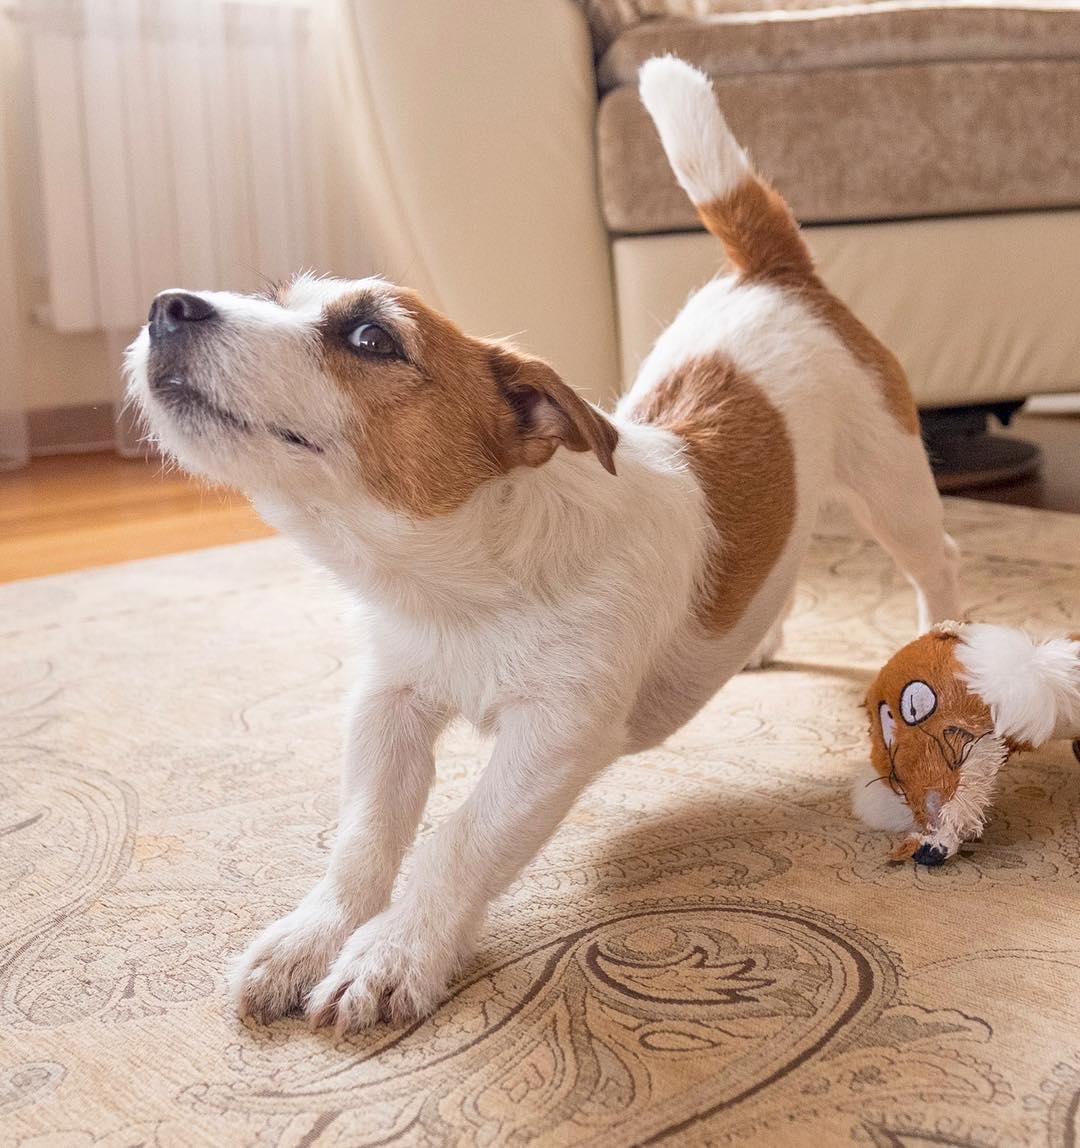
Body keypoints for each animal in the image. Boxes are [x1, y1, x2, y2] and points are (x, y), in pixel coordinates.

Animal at [126, 58, 959, 1037]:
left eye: (371, 337)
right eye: (279, 301)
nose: (166, 305)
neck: (463, 585)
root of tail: (772, 276)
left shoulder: (554, 734)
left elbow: (460, 839)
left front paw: (393, 953)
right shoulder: (389, 705)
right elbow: (365, 836)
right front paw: (312, 935)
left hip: (892, 487)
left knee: (937, 559)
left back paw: (943, 644)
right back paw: (761, 637)